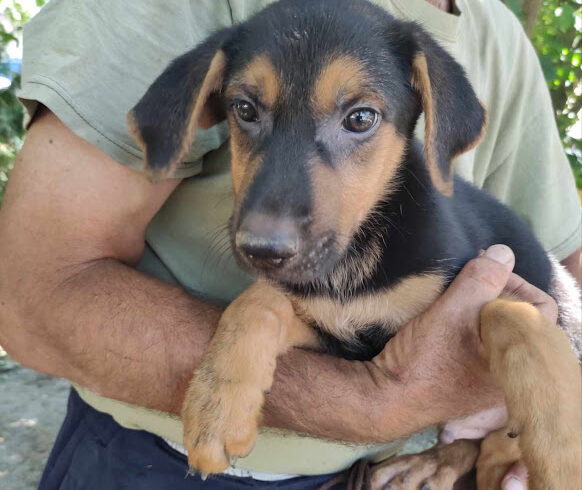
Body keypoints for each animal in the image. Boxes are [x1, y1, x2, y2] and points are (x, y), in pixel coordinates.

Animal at [129, 1, 582, 488]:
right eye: (245, 110)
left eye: (361, 118)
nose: (263, 250)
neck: (353, 261)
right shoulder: (341, 337)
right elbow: (258, 302)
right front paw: (216, 408)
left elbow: (512, 316)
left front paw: (563, 451)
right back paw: (429, 464)